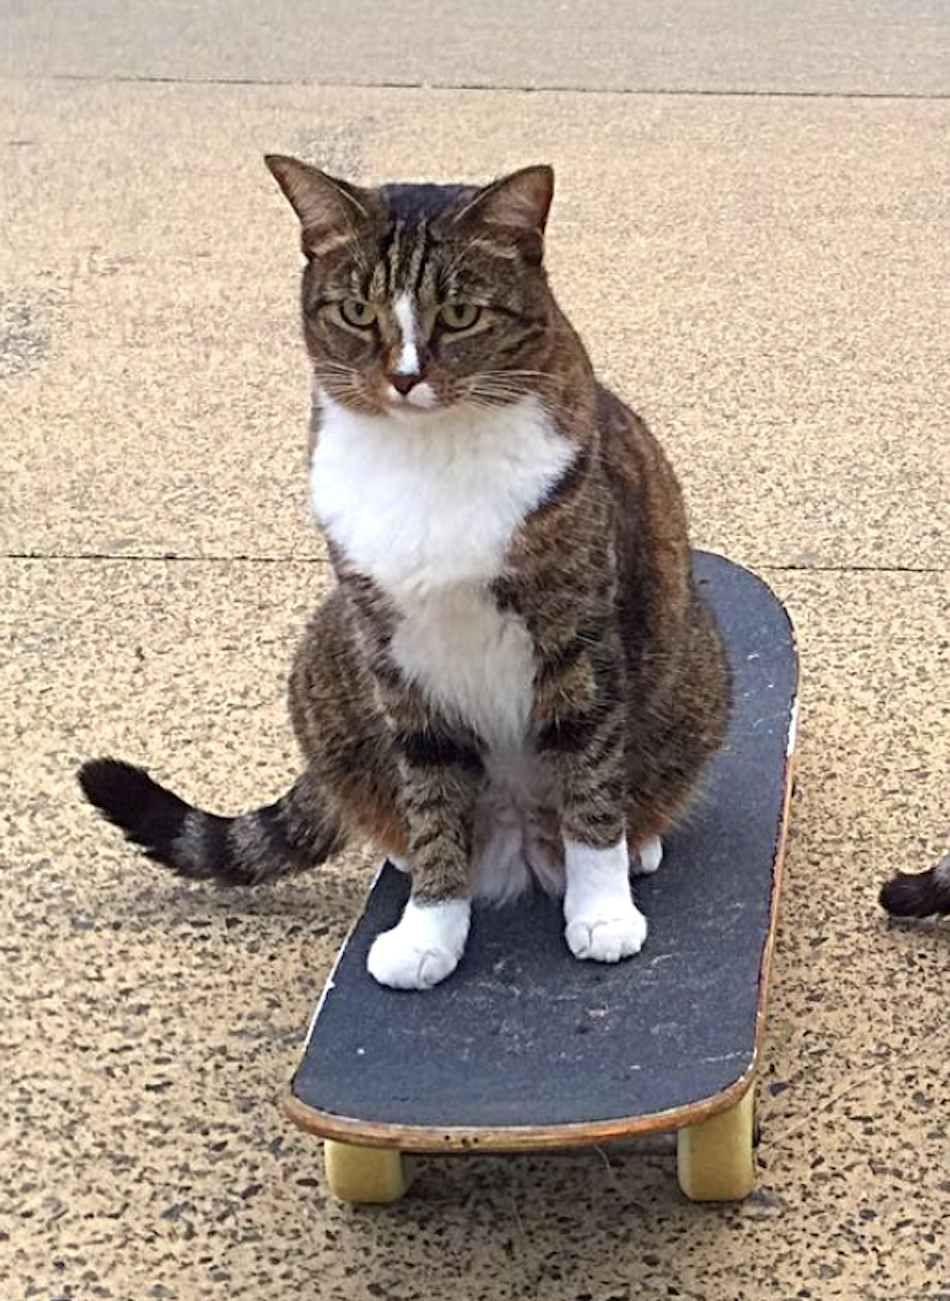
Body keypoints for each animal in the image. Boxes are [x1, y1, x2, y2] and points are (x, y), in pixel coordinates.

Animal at [79, 157, 733, 988]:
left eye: (458, 313)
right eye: (358, 311)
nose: (404, 377)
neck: (431, 452)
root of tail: (522, 844)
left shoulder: (579, 640)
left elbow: (588, 778)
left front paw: (600, 910)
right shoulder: (396, 657)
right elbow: (432, 800)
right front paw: (431, 925)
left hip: (695, 668)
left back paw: (636, 842)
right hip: (324, 655)